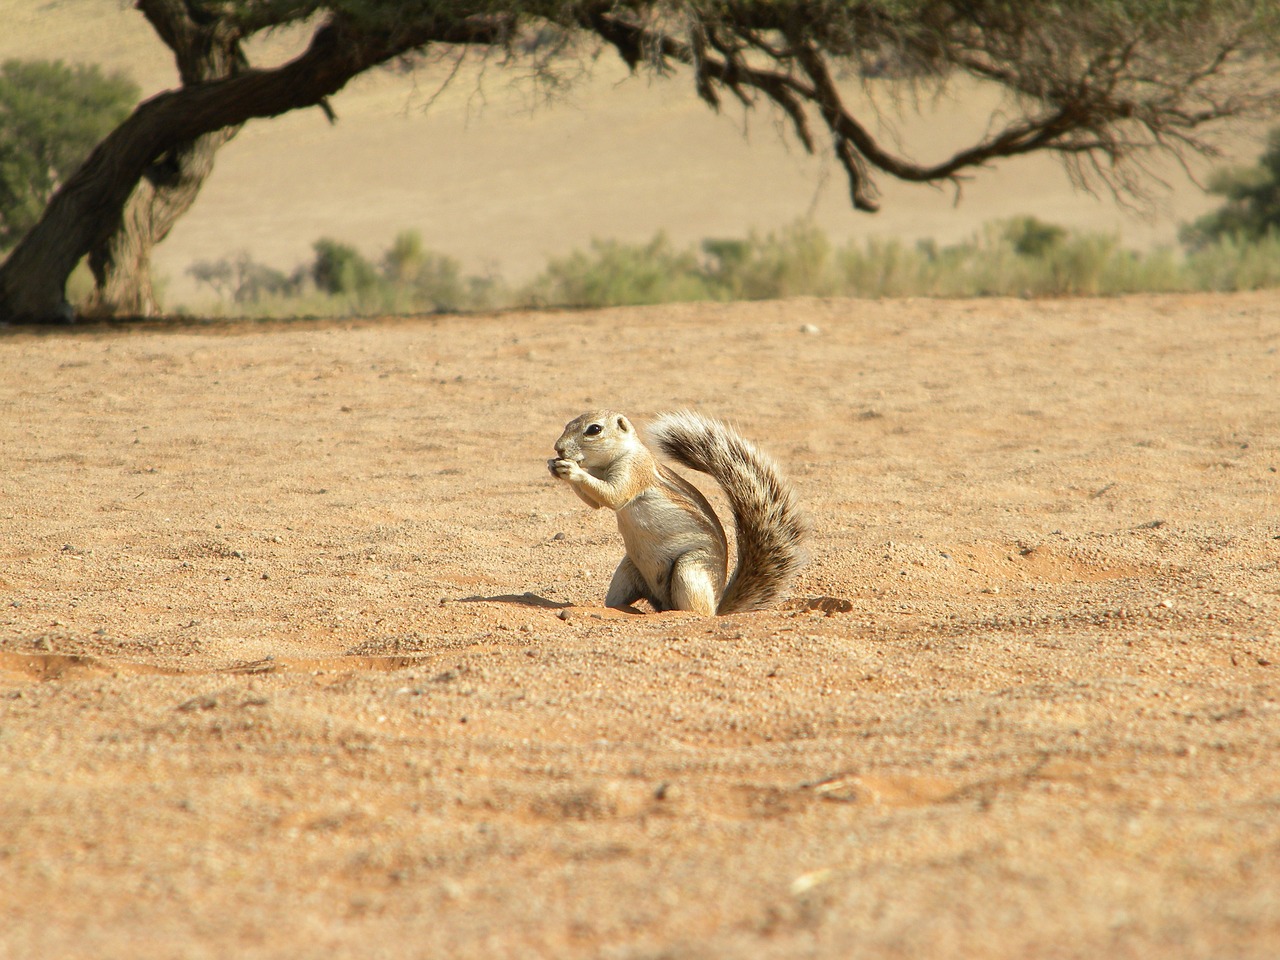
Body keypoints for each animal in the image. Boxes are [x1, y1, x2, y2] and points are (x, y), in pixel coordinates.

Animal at [547, 409, 803, 611]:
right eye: (567, 424)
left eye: (594, 429)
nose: (558, 448)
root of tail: (717, 607)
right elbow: (595, 502)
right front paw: (553, 465)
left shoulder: (635, 469)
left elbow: (614, 496)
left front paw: (572, 470)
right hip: (627, 571)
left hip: (688, 569)